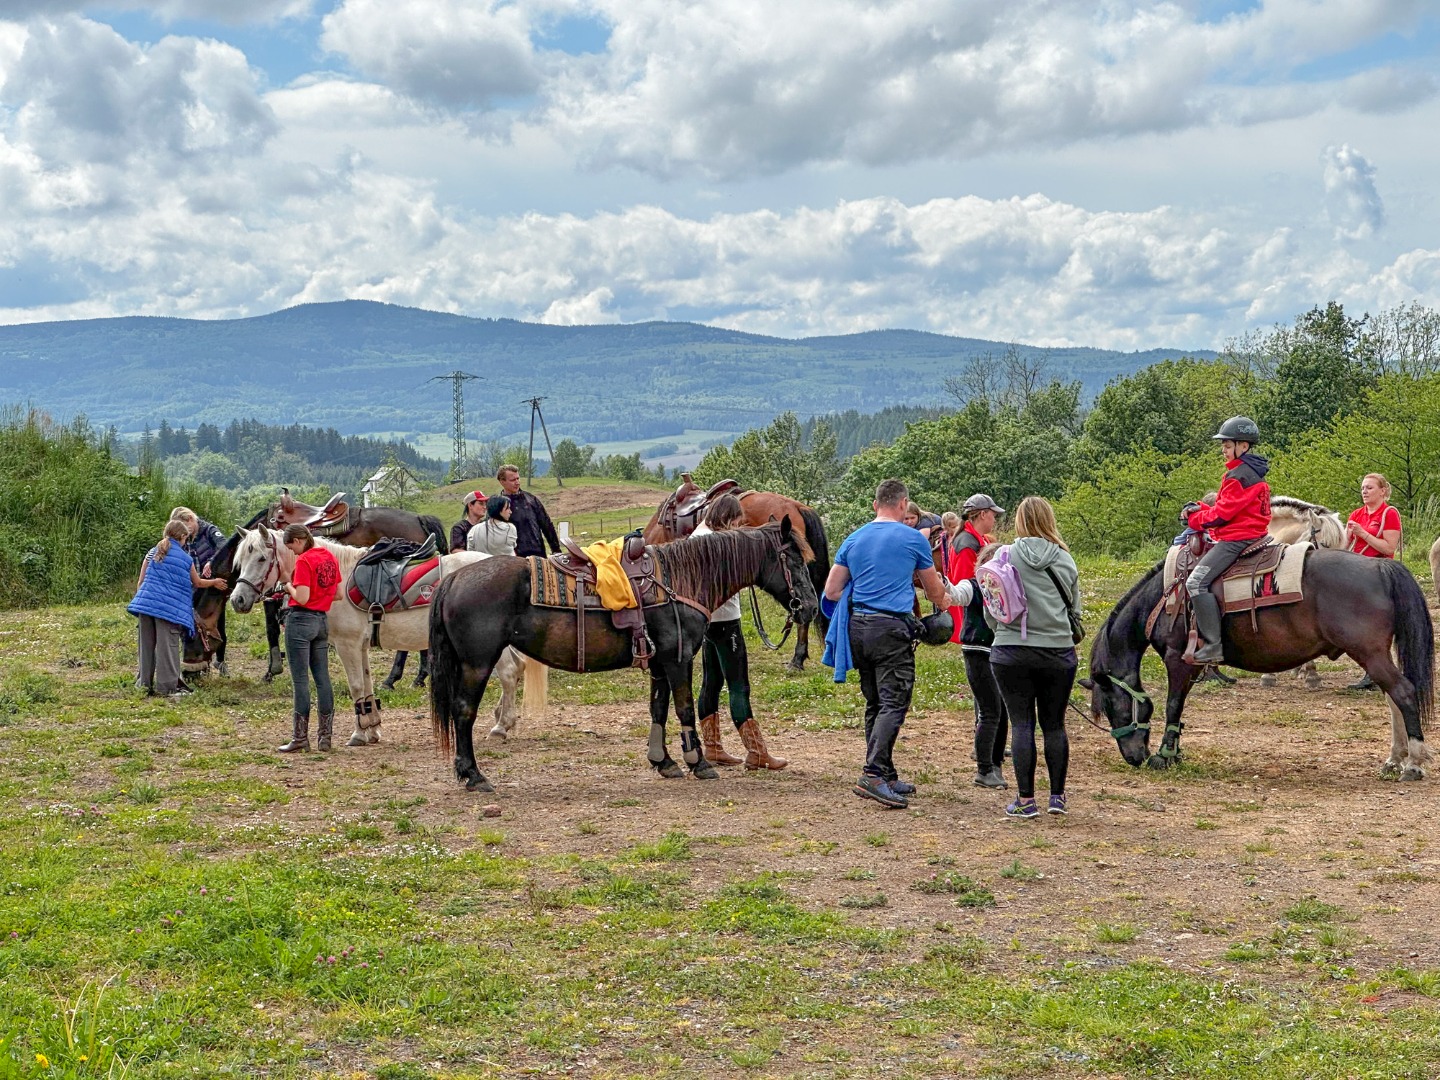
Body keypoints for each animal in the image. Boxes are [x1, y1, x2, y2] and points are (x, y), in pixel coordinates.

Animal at [420, 524, 817, 794]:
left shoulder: (659, 663)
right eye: (793, 559)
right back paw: (473, 775)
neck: (681, 580)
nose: (811, 607)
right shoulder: (678, 660)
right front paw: (699, 762)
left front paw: (664, 762)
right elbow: (684, 708)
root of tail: (454, 579)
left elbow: (658, 710)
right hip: (477, 664)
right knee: (463, 712)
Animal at [1082, 552, 1434, 783]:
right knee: (1392, 698)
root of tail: (1380, 565)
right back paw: (1394, 760)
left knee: (1403, 693)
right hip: (1376, 654)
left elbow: (1171, 706)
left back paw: (1413, 764)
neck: (1165, 598)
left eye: (1112, 705)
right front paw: (1174, 752)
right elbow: (1178, 710)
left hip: (1370, 653)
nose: (1133, 758)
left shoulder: (1177, 659)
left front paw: (1164, 756)